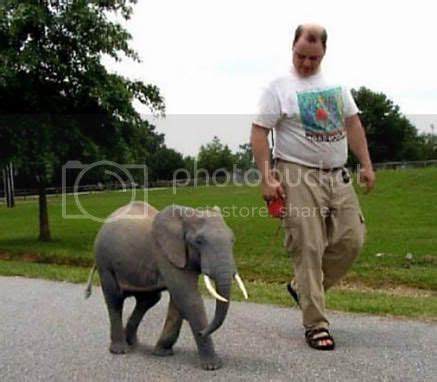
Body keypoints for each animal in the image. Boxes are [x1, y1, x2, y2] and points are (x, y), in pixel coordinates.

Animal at [85, 203, 247, 370]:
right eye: (199, 241)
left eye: (232, 240)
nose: (202, 332)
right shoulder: (165, 254)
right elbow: (188, 298)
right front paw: (212, 366)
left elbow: (179, 302)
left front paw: (162, 353)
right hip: (104, 262)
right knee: (115, 299)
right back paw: (120, 349)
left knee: (149, 299)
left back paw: (133, 343)